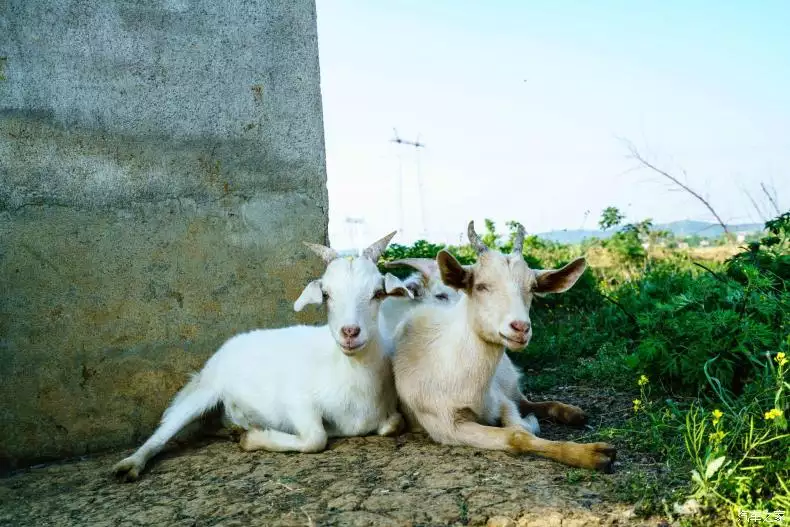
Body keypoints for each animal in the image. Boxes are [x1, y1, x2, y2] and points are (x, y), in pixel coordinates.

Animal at [113, 232, 412, 482]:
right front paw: (253, 440)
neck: (349, 373)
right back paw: (130, 465)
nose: (350, 332)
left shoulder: (387, 415)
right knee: (164, 430)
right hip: (206, 390)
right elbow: (316, 438)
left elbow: (394, 424)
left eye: (378, 293)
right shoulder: (296, 400)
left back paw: (234, 428)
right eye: (326, 294)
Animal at [390, 223, 620, 474]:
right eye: (480, 286)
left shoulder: (500, 400)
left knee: (527, 401)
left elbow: (518, 424)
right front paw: (593, 454)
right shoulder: (445, 425)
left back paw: (573, 413)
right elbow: (516, 435)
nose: (521, 327)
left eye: (532, 288)